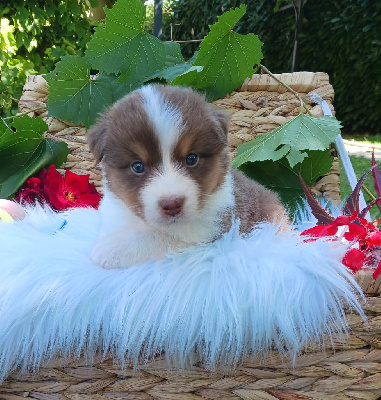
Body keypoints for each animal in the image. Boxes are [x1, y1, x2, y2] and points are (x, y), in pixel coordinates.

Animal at [87, 83, 288, 268]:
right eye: (137, 166)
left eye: (191, 158)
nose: (172, 204)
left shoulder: (211, 229)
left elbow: (159, 236)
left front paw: (110, 250)